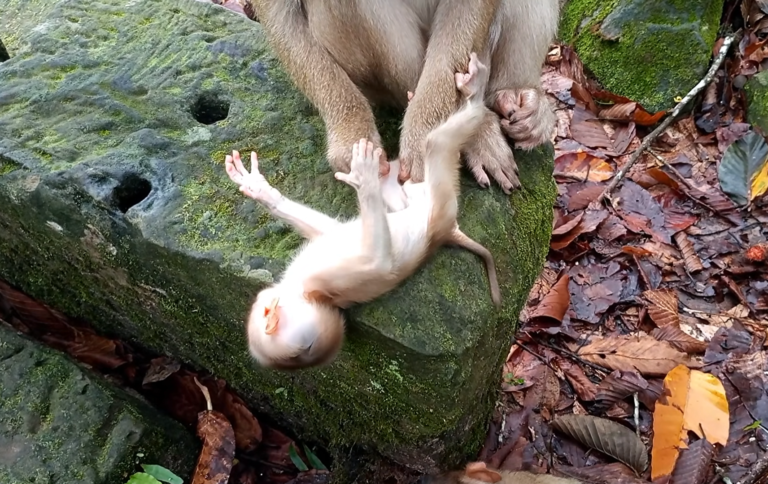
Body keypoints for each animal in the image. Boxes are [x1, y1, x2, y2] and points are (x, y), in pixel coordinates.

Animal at [225, 53, 501, 370]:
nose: (260, 298)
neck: (306, 291)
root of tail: (448, 231)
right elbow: (355, 247)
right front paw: (364, 179)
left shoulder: (321, 279)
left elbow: (358, 248)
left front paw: (263, 191)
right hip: (435, 201)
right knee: (432, 149)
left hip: (433, 200)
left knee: (431, 149)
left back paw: (470, 95)